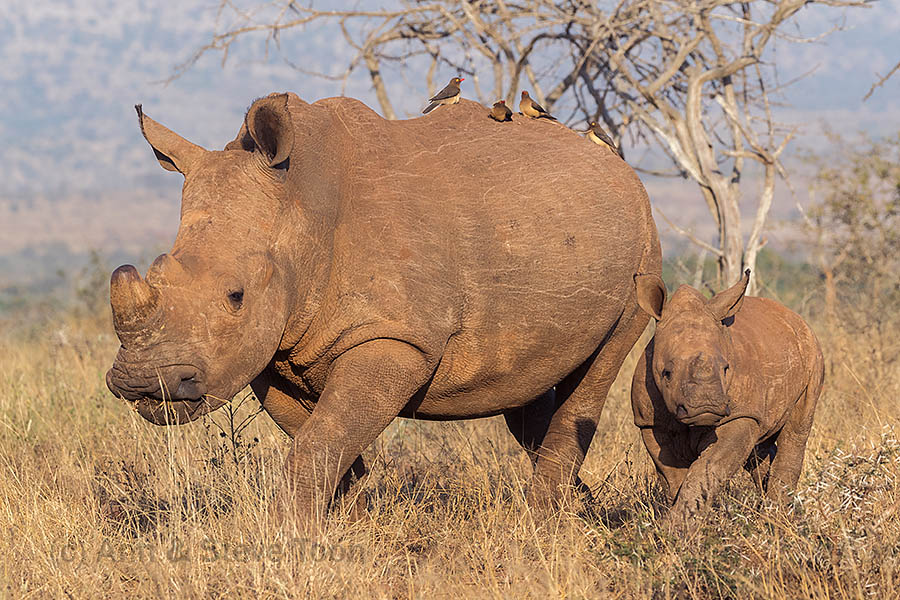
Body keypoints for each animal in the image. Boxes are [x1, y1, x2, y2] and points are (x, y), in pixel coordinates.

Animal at [106, 92, 661, 523]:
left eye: (235, 296)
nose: (142, 384)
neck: (300, 207)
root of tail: (619, 168)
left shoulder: (397, 337)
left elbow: (322, 437)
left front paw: (291, 537)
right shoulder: (272, 348)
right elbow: (323, 437)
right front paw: (342, 522)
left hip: (644, 253)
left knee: (598, 368)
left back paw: (541, 522)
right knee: (527, 386)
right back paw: (578, 507)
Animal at [630, 270, 824, 525]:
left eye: (726, 369)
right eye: (667, 373)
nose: (706, 406)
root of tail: (795, 318)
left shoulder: (740, 414)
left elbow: (708, 468)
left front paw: (677, 527)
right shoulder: (650, 421)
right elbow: (671, 476)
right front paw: (674, 524)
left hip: (813, 355)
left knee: (795, 432)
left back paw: (776, 521)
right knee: (759, 447)